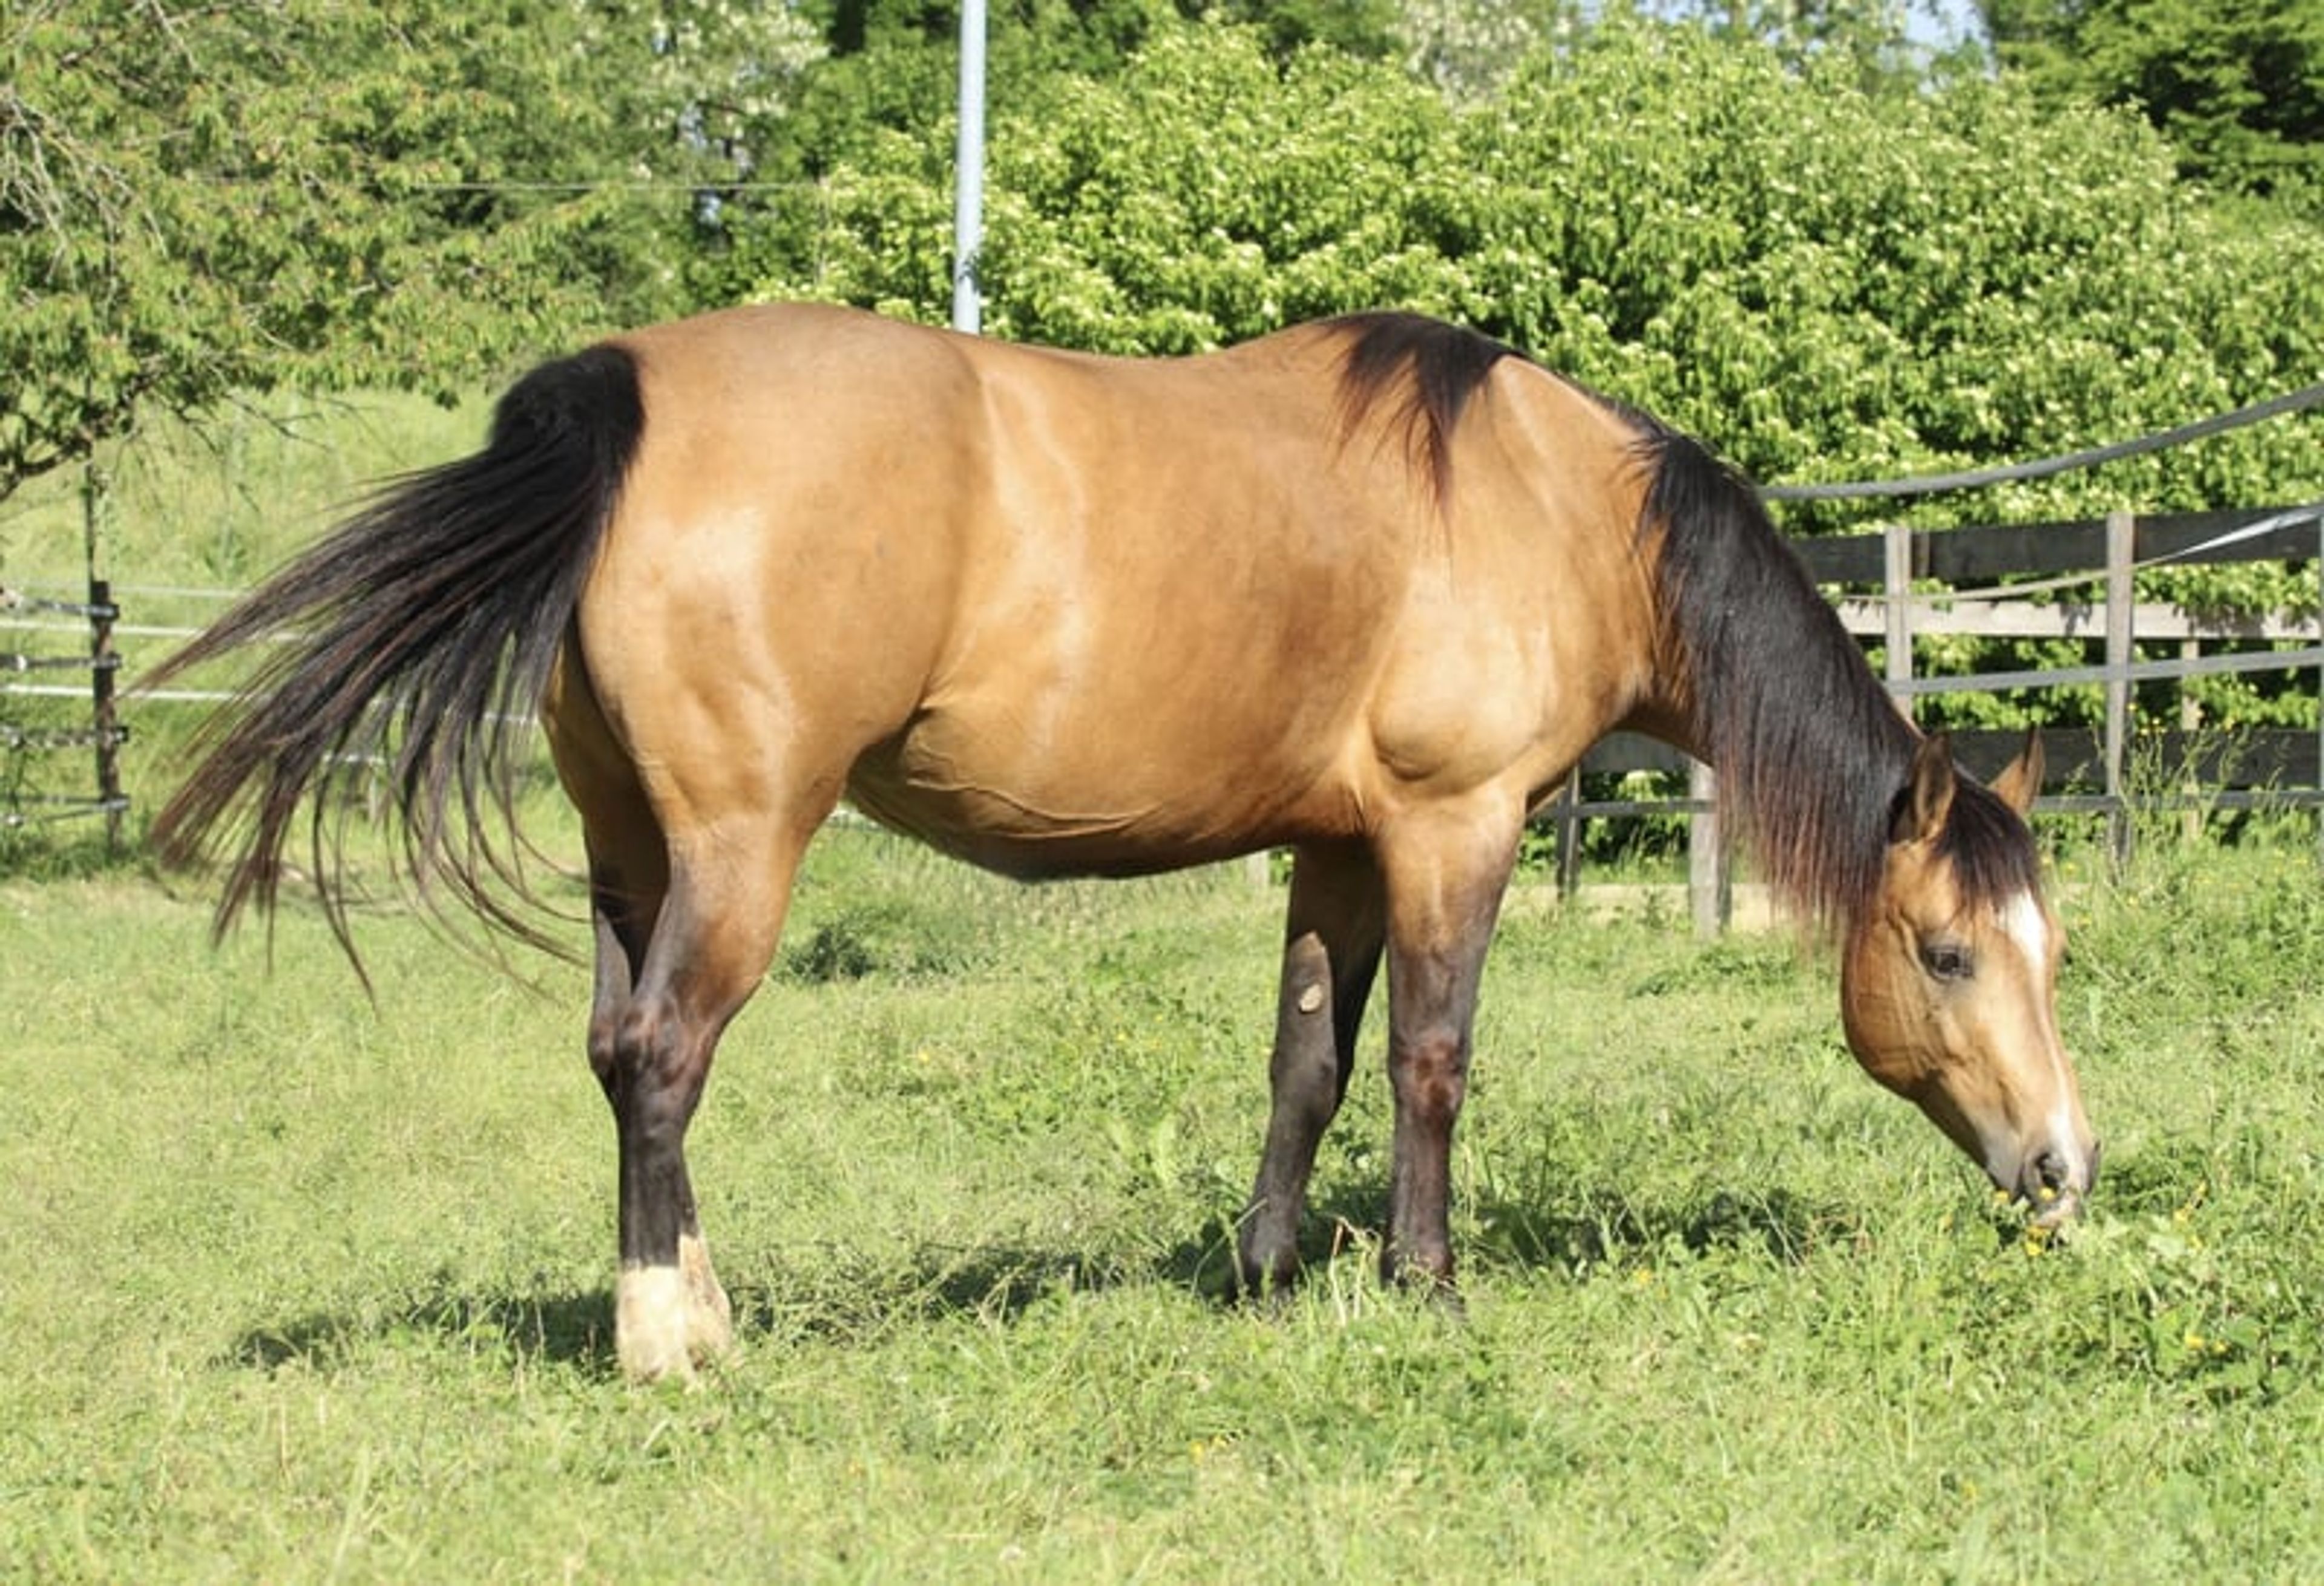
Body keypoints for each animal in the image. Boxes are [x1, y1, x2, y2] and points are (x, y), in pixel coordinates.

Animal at [150, 304, 2098, 1382]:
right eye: (1944, 949)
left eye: (2049, 949)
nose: (2064, 1167)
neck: (1556, 506)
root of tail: (626, 394)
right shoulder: (1449, 830)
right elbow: (1432, 1062)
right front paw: (1426, 1286)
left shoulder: (1337, 845)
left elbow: (1307, 1063)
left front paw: (1265, 1274)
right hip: (737, 853)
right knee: (661, 1061)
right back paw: (670, 1342)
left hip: (632, 850)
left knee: (616, 1050)